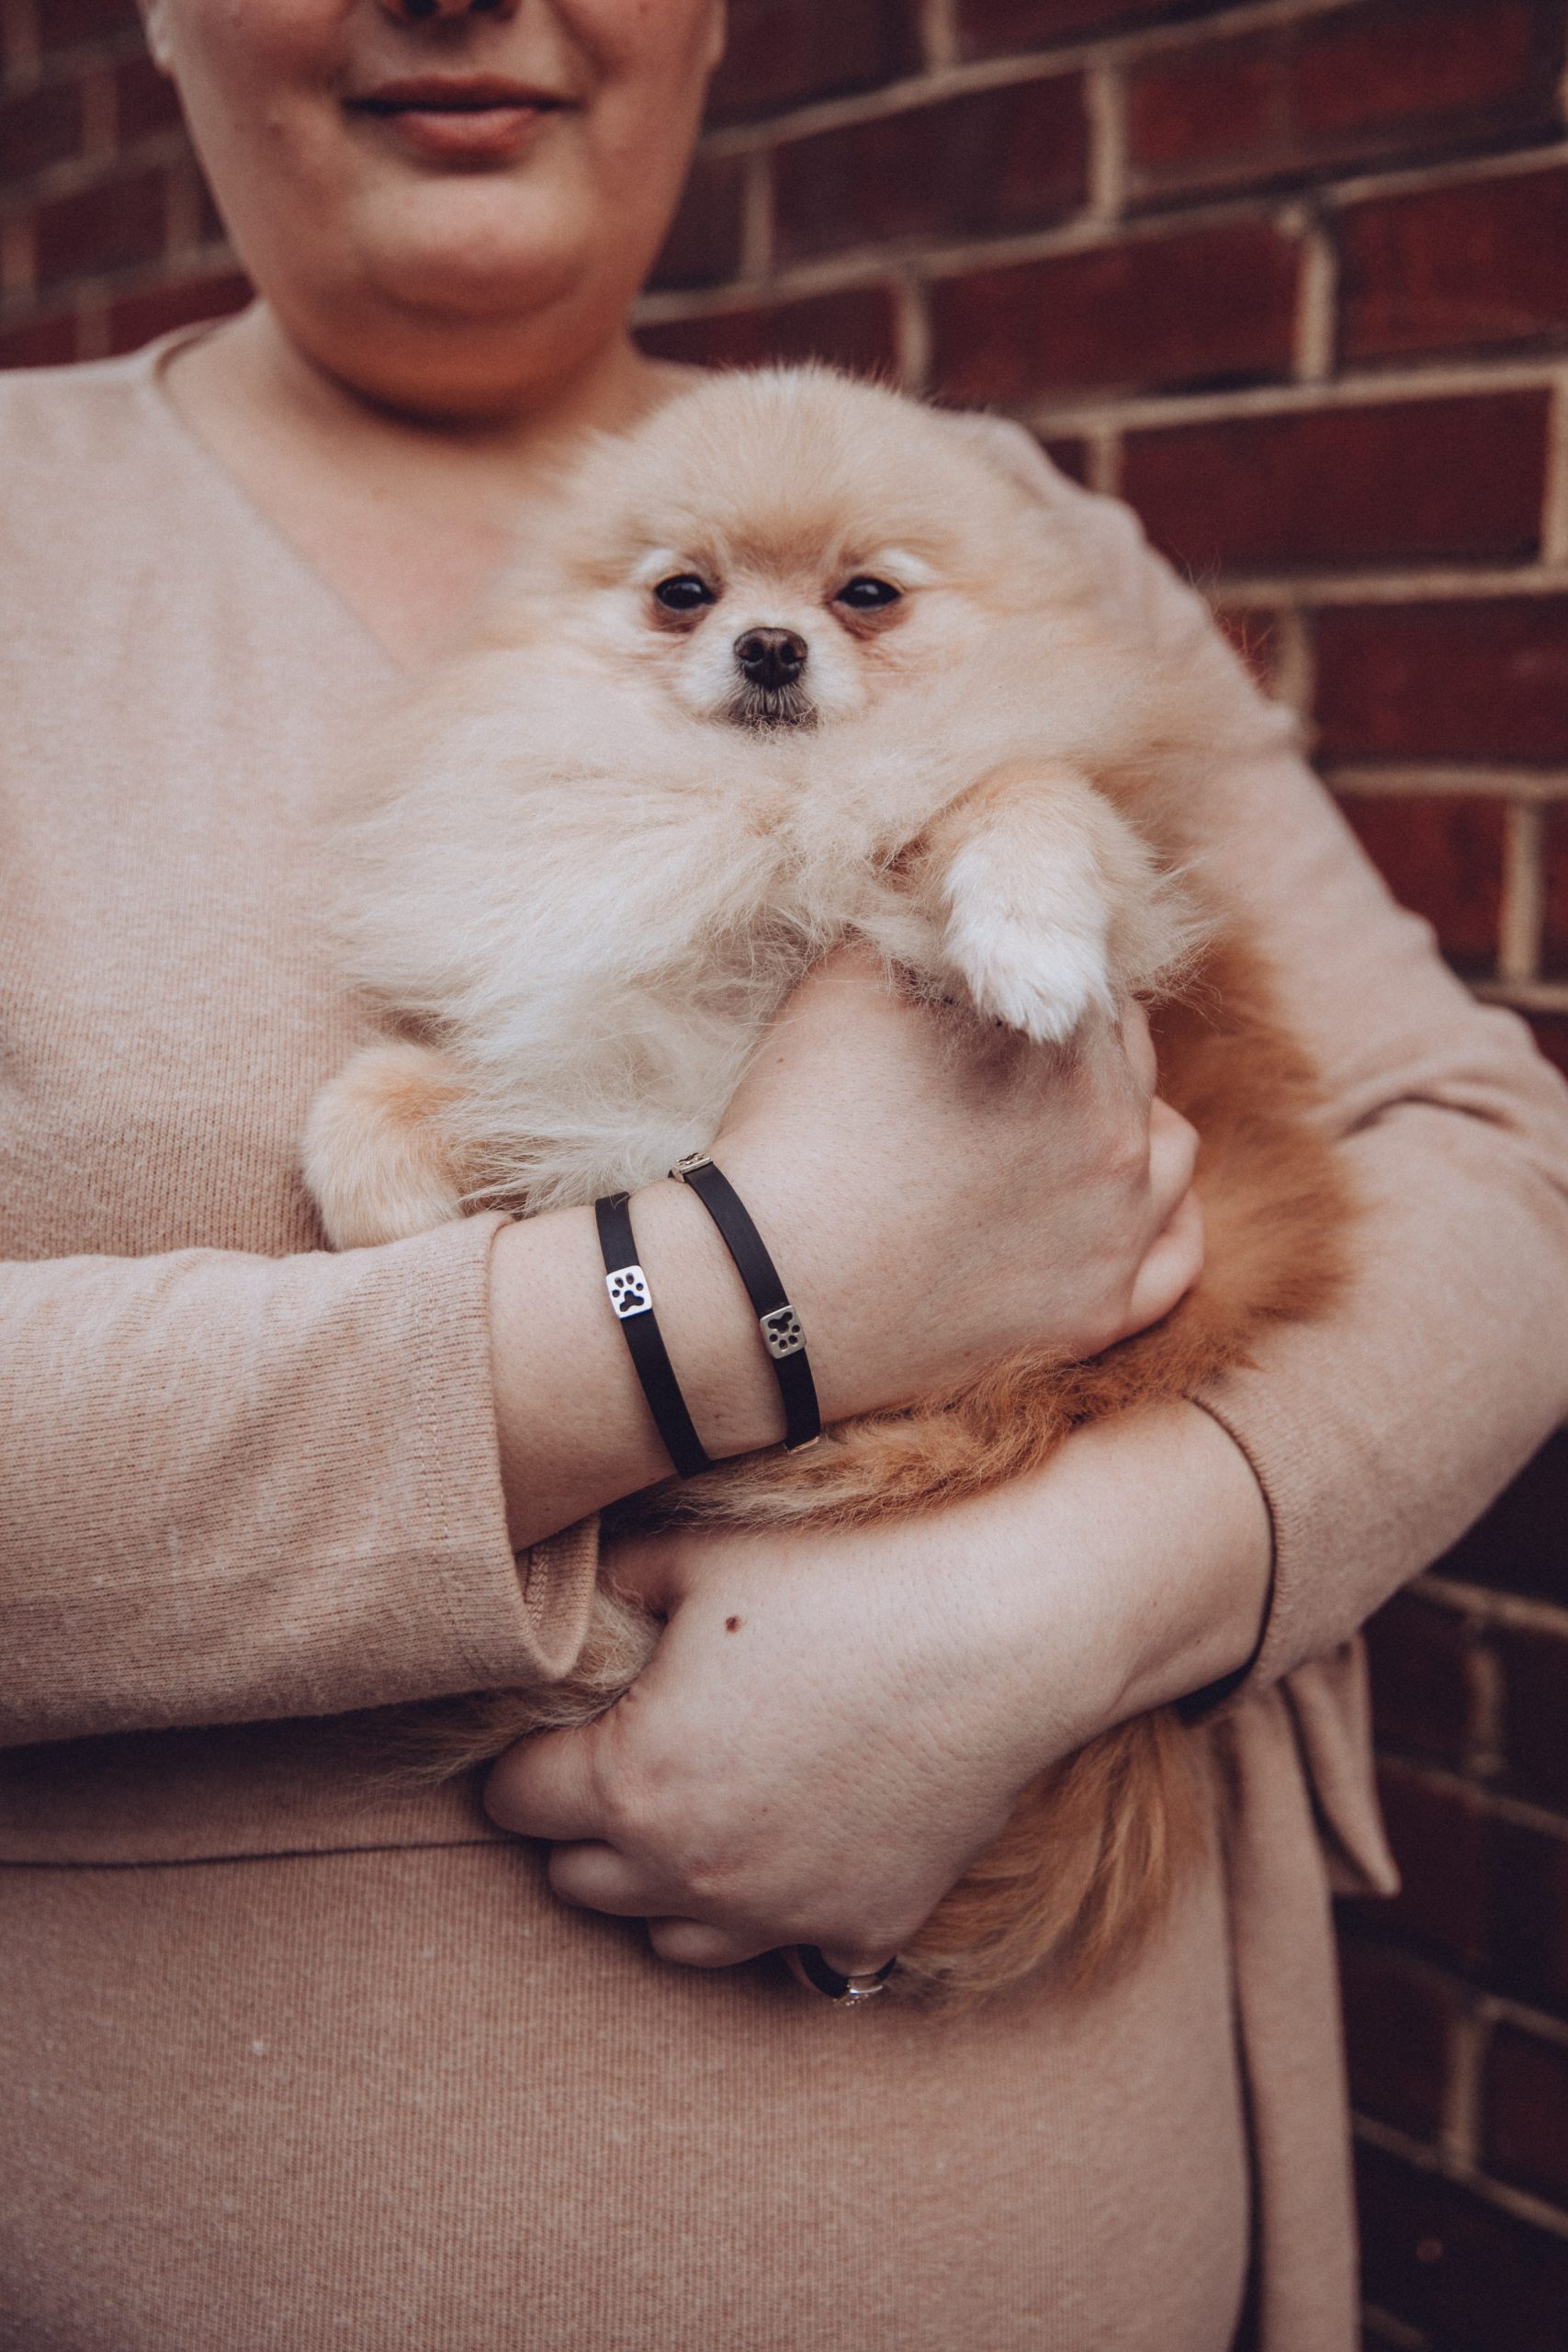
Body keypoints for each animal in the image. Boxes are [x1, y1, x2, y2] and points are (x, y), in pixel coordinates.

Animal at [303, 367, 1354, 2004]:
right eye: (682, 592)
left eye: (865, 595)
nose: (769, 643)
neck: (754, 806)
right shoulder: (603, 1045)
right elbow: (378, 1097)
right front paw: (390, 1215)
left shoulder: (1091, 863)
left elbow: (1025, 787)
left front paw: (1028, 946)